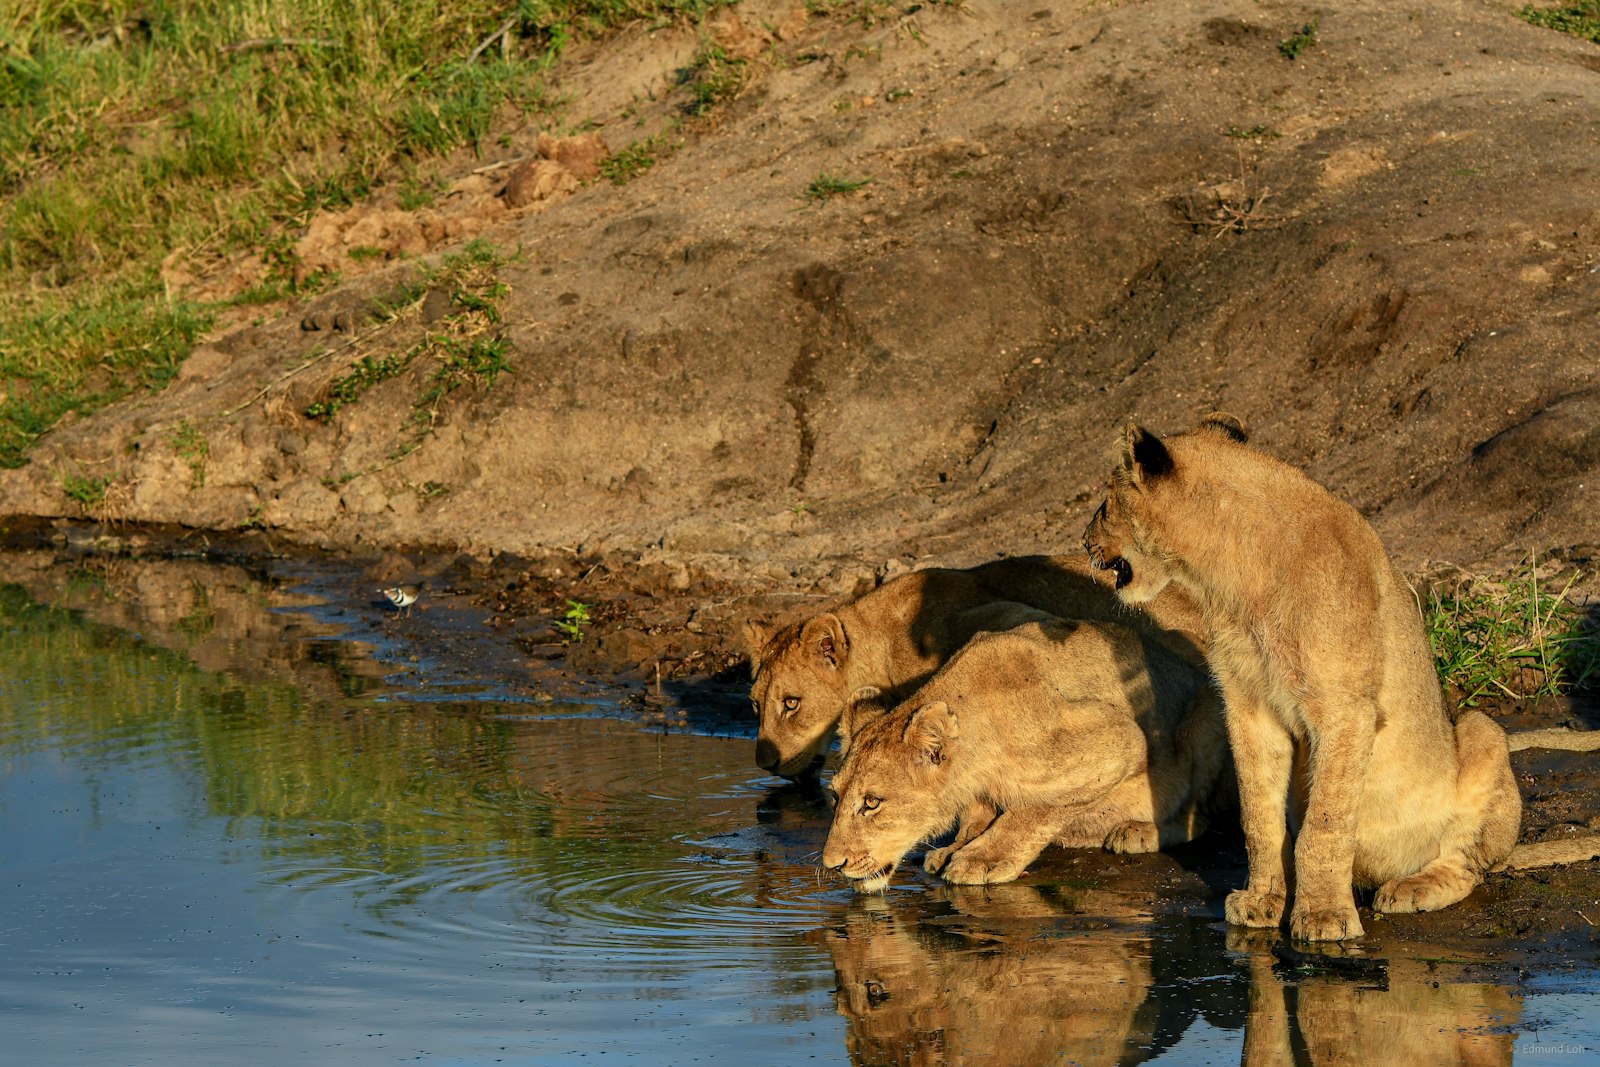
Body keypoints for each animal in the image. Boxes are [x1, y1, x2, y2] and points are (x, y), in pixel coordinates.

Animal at [820, 616, 1231, 890]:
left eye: (872, 803)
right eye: (835, 797)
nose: (833, 864)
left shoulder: (1120, 737)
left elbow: (1033, 809)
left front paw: (981, 858)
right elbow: (979, 812)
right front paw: (957, 844)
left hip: (1209, 708)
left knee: (1200, 815)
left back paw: (1136, 831)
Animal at [1080, 413, 1598, 942]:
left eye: (1107, 501)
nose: (1083, 541)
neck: (1232, 578)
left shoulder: (1345, 711)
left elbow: (1325, 824)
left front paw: (1324, 915)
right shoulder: (1249, 705)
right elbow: (1259, 816)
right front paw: (1263, 901)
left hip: (1482, 731)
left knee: (1466, 865)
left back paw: (1413, 887)